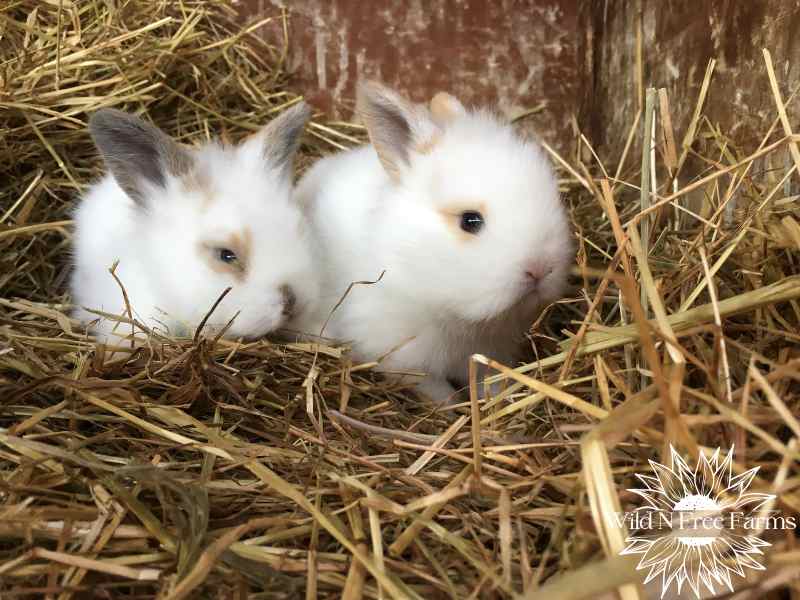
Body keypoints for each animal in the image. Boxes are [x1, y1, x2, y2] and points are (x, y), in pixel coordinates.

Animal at [292, 81, 573, 404]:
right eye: (470, 221)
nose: (541, 269)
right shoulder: (406, 359)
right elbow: (438, 392)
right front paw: (455, 407)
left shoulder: (488, 352)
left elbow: (488, 380)